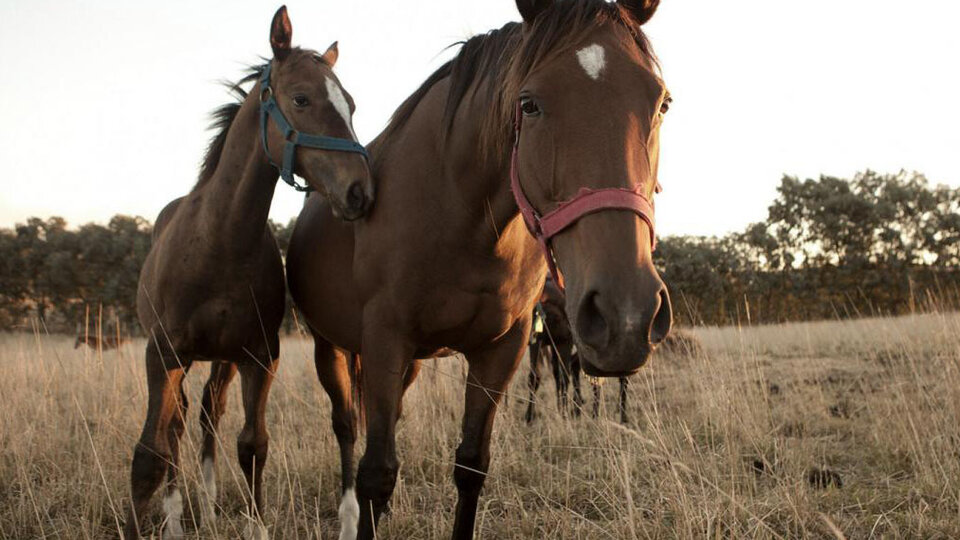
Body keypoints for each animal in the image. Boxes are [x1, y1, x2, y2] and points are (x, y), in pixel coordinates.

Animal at [124, 6, 372, 536]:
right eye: (301, 98)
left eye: (351, 105)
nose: (361, 191)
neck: (219, 242)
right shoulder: (162, 354)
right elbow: (150, 453)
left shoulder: (260, 355)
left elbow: (253, 444)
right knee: (177, 425)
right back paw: (177, 515)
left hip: (222, 359)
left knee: (208, 411)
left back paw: (209, 500)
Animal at [288, 2, 672, 536]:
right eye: (529, 104)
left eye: (661, 103)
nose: (626, 315)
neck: (458, 214)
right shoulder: (384, 341)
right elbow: (376, 472)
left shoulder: (501, 349)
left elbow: (471, 464)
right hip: (334, 348)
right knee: (346, 428)